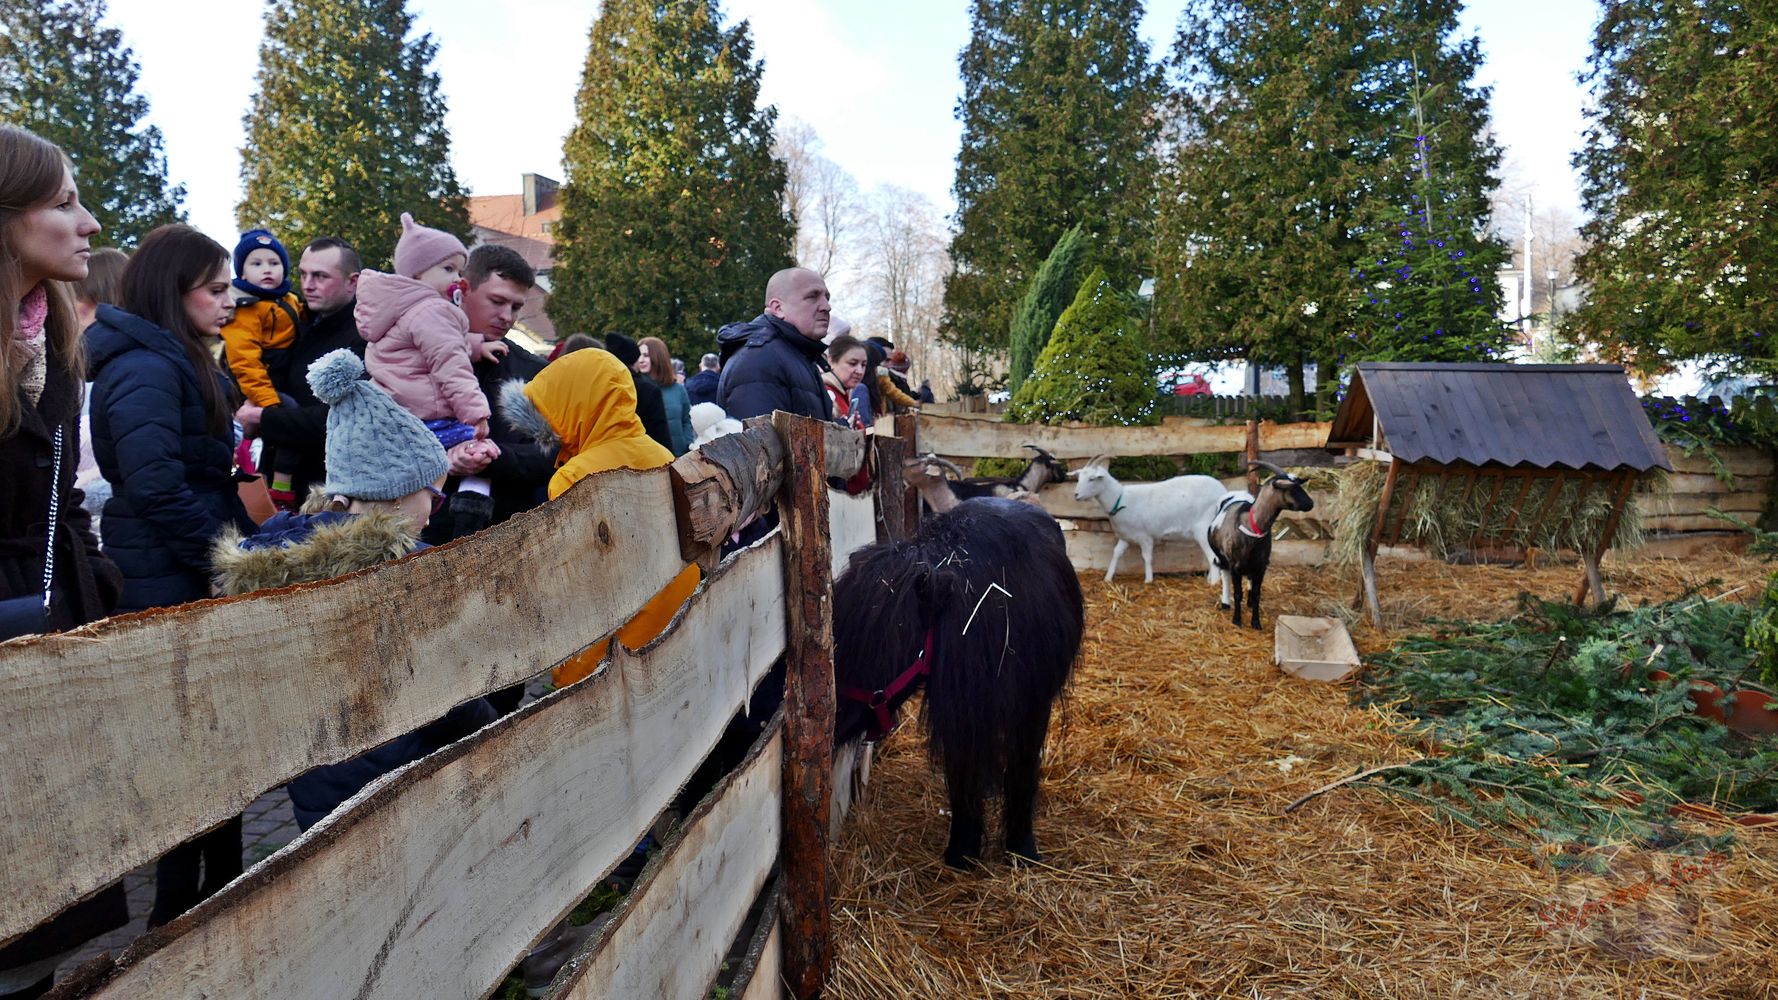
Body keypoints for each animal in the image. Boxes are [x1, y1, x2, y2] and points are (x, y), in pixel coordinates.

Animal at [832, 496, 1084, 868]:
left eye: (887, 641)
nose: (832, 719)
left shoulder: (1033, 708)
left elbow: (1022, 772)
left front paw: (1022, 849)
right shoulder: (959, 708)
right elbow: (963, 771)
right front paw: (962, 851)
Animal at [1070, 455, 1228, 584]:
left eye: (1091, 479)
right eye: (1079, 478)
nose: (1076, 495)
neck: (1120, 499)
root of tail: (1224, 492)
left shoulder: (1144, 536)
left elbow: (1146, 557)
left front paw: (1148, 580)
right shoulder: (1126, 536)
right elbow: (1116, 553)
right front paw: (1108, 578)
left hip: (1203, 528)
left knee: (1213, 557)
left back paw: (1213, 583)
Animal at [1208, 461, 1315, 628]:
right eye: (1290, 488)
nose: (1311, 503)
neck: (1252, 526)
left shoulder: (1261, 565)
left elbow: (1258, 593)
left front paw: (1256, 622)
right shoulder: (1235, 566)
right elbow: (1237, 593)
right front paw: (1237, 620)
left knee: (1249, 580)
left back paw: (1249, 601)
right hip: (1221, 556)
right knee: (1224, 573)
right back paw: (1226, 603)